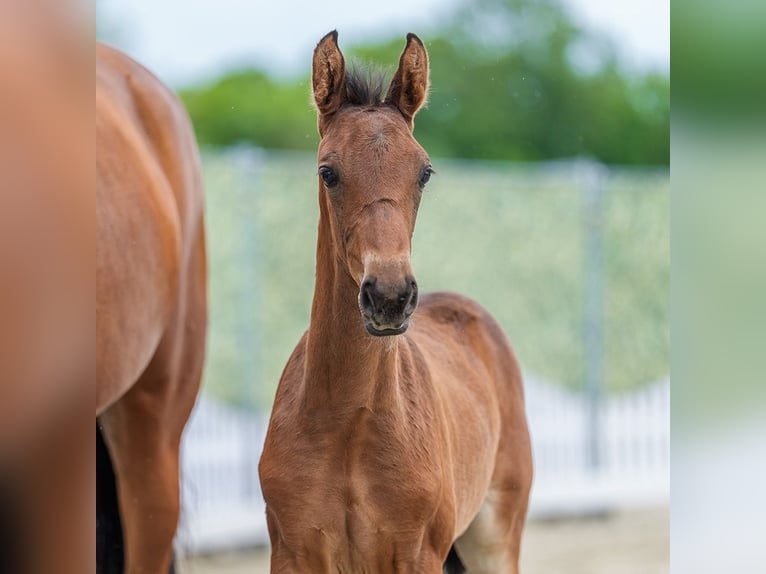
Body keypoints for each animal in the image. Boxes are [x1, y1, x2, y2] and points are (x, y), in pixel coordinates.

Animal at [259, 31, 533, 573]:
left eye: (424, 172)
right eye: (328, 172)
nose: (389, 296)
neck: (346, 425)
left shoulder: (417, 553)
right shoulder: (293, 552)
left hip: (495, 538)